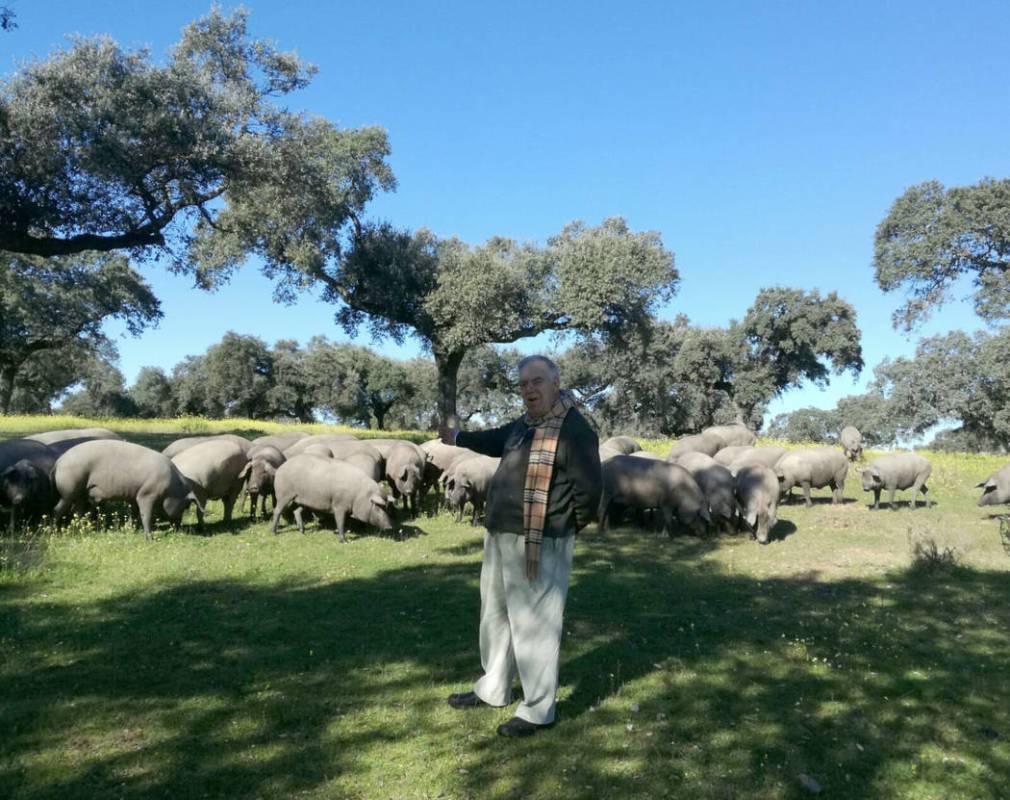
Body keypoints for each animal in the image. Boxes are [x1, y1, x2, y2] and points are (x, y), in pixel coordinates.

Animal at [53, 440, 203, 541]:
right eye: (186, 506)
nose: (179, 528)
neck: (171, 488)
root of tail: (59, 461)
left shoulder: (134, 496)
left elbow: (134, 513)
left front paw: (131, 529)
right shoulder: (146, 494)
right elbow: (146, 515)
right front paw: (149, 539)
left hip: (80, 494)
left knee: (77, 511)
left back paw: (82, 530)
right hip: (68, 490)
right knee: (58, 509)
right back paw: (54, 531)